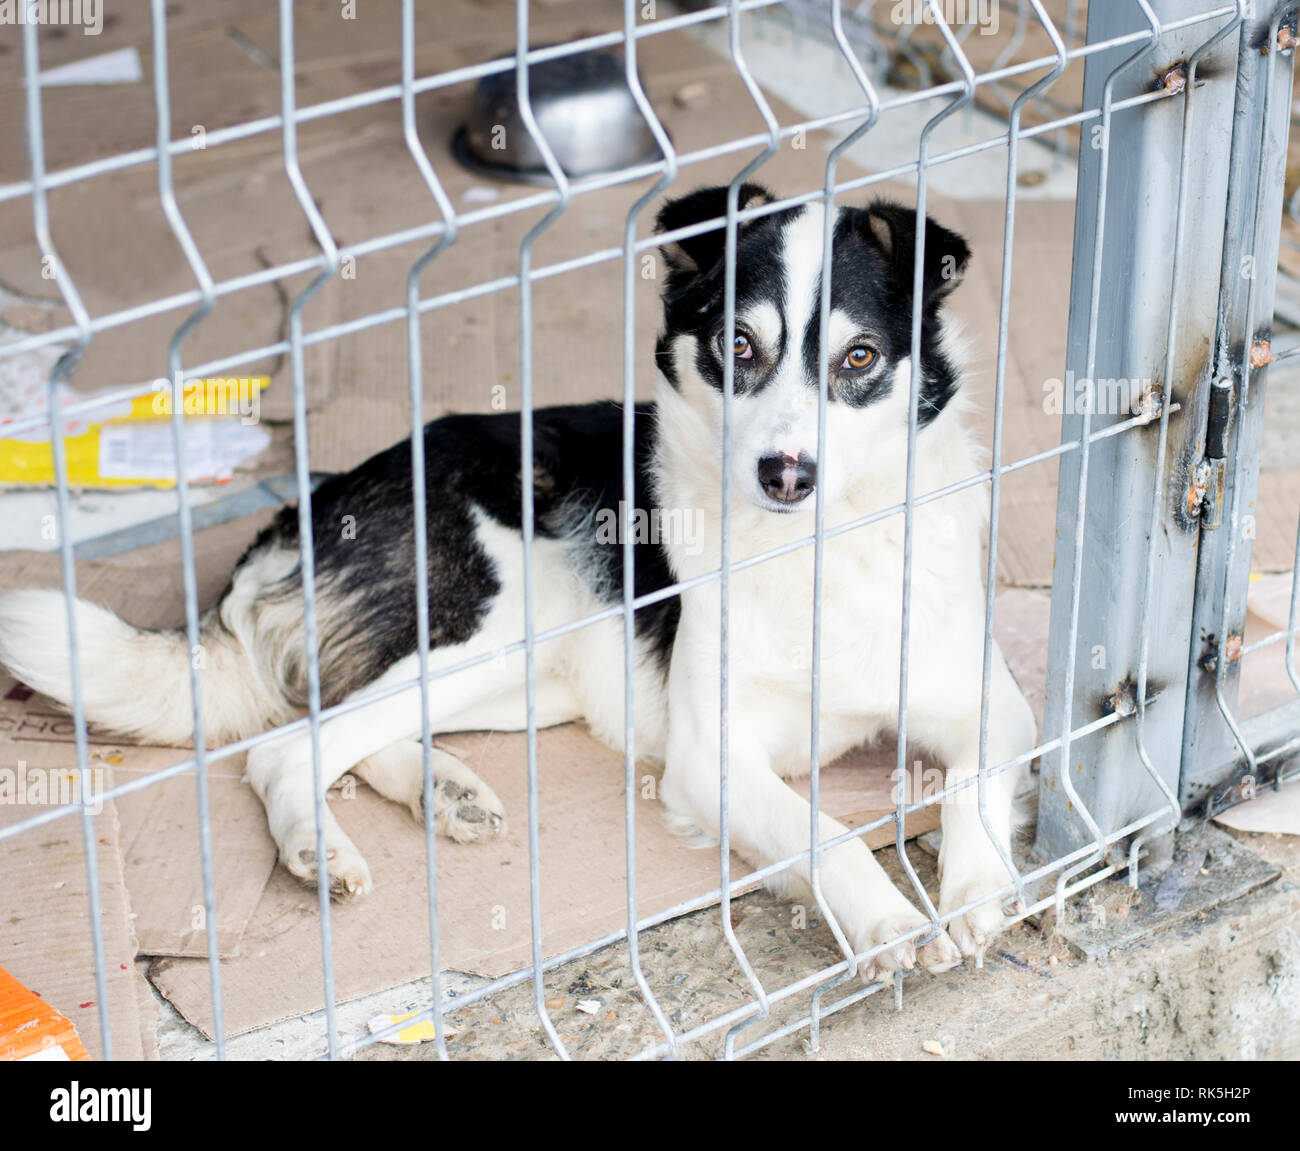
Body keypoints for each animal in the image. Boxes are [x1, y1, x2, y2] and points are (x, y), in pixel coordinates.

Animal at [0, 184, 1034, 972]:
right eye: (738, 345)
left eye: (859, 358)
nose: (786, 474)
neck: (824, 544)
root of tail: (310, 505)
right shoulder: (712, 760)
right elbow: (827, 833)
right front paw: (891, 919)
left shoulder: (992, 703)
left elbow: (972, 781)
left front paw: (978, 891)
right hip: (490, 624)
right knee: (286, 748)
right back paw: (319, 847)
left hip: (531, 676)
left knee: (341, 725)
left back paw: (441, 787)